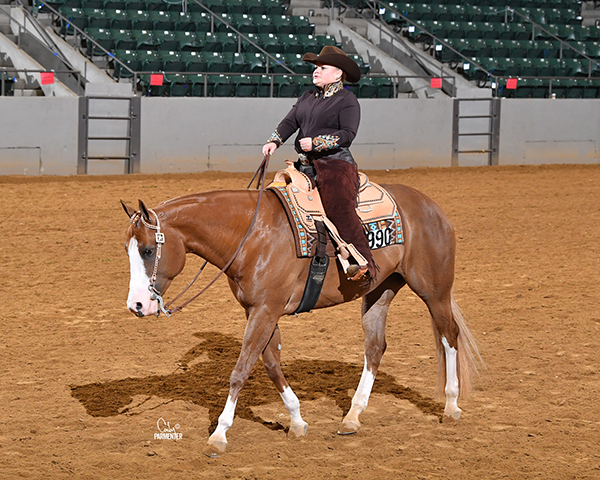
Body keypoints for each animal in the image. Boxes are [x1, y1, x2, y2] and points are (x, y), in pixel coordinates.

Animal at [119, 180, 480, 458]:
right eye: (128, 250)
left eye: (148, 250)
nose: (136, 304)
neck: (251, 235)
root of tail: (429, 205)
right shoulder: (259, 311)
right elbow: (270, 364)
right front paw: (296, 420)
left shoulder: (265, 310)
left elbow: (240, 370)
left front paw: (219, 435)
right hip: (380, 290)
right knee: (375, 347)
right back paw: (352, 416)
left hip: (434, 290)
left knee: (449, 335)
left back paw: (451, 406)